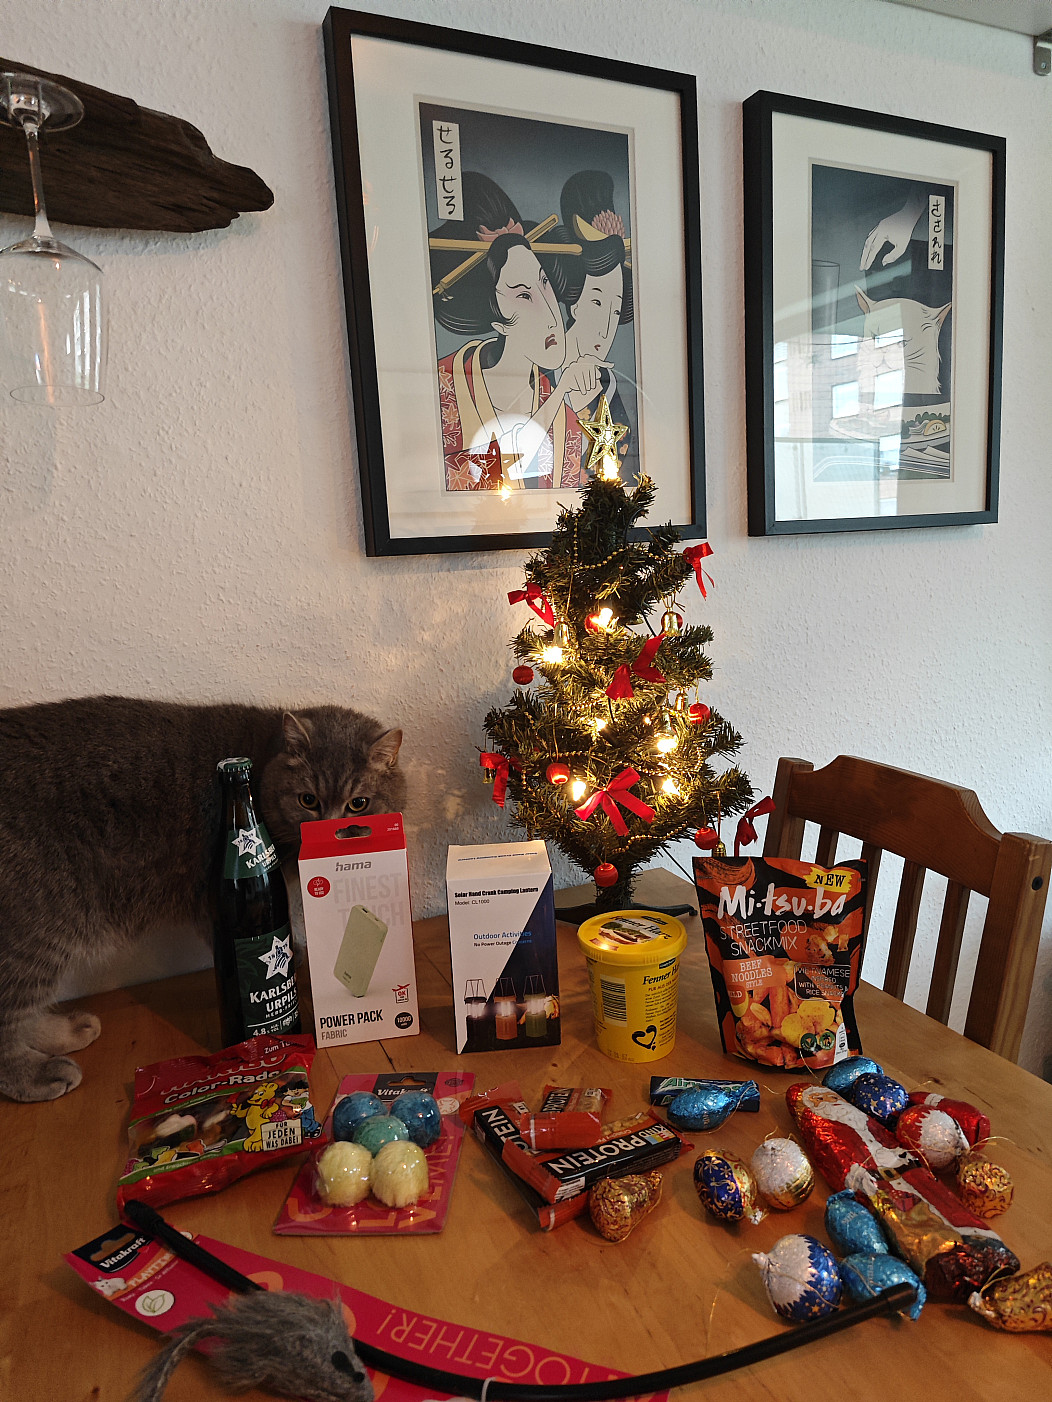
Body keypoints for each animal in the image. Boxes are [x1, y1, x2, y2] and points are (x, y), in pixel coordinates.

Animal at [0, 696, 405, 1103]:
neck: (264, 757)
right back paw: (37, 1074)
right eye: (309, 800)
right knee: (8, 1018)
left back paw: (66, 1032)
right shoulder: (215, 912)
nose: (325, 830)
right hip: (42, 930)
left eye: (358, 804)